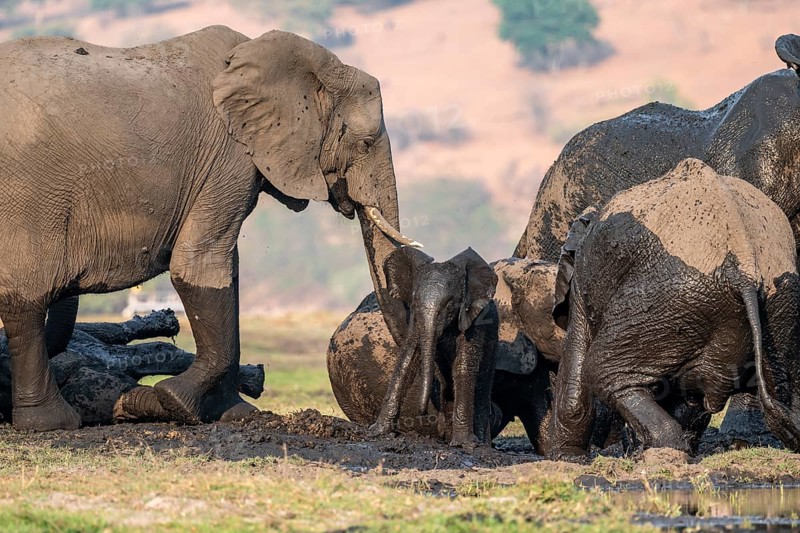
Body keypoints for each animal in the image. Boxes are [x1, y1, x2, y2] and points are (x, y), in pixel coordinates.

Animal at [328, 247, 499, 447]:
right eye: (414, 302)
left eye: (450, 305)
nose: (422, 411)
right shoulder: (413, 318)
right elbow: (407, 359)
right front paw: (377, 432)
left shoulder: (475, 321)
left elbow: (463, 367)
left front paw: (465, 444)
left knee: (482, 384)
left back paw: (481, 444)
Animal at [550, 158, 800, 460]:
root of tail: (742, 270)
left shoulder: (585, 279)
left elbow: (575, 358)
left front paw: (567, 459)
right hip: (778, 304)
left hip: (662, 300)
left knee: (602, 369)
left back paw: (662, 450)